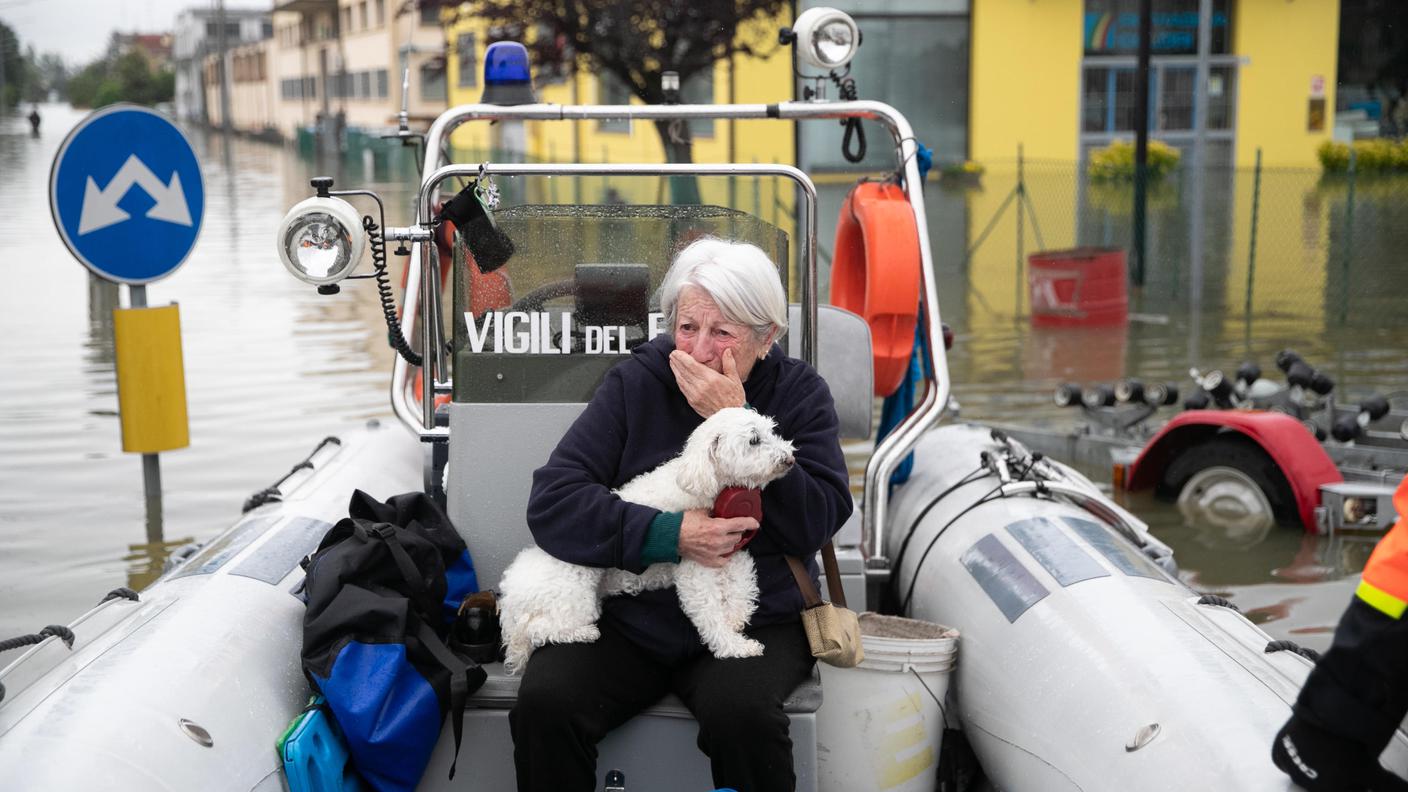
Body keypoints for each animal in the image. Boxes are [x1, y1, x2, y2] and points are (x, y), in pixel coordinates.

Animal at [501, 405, 799, 670]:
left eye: (772, 431)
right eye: (754, 440)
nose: (790, 458)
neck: (704, 481)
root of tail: (509, 600)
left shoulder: (731, 549)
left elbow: (743, 584)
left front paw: (736, 618)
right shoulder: (697, 567)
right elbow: (710, 613)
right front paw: (735, 646)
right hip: (573, 597)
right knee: (538, 628)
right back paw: (584, 632)